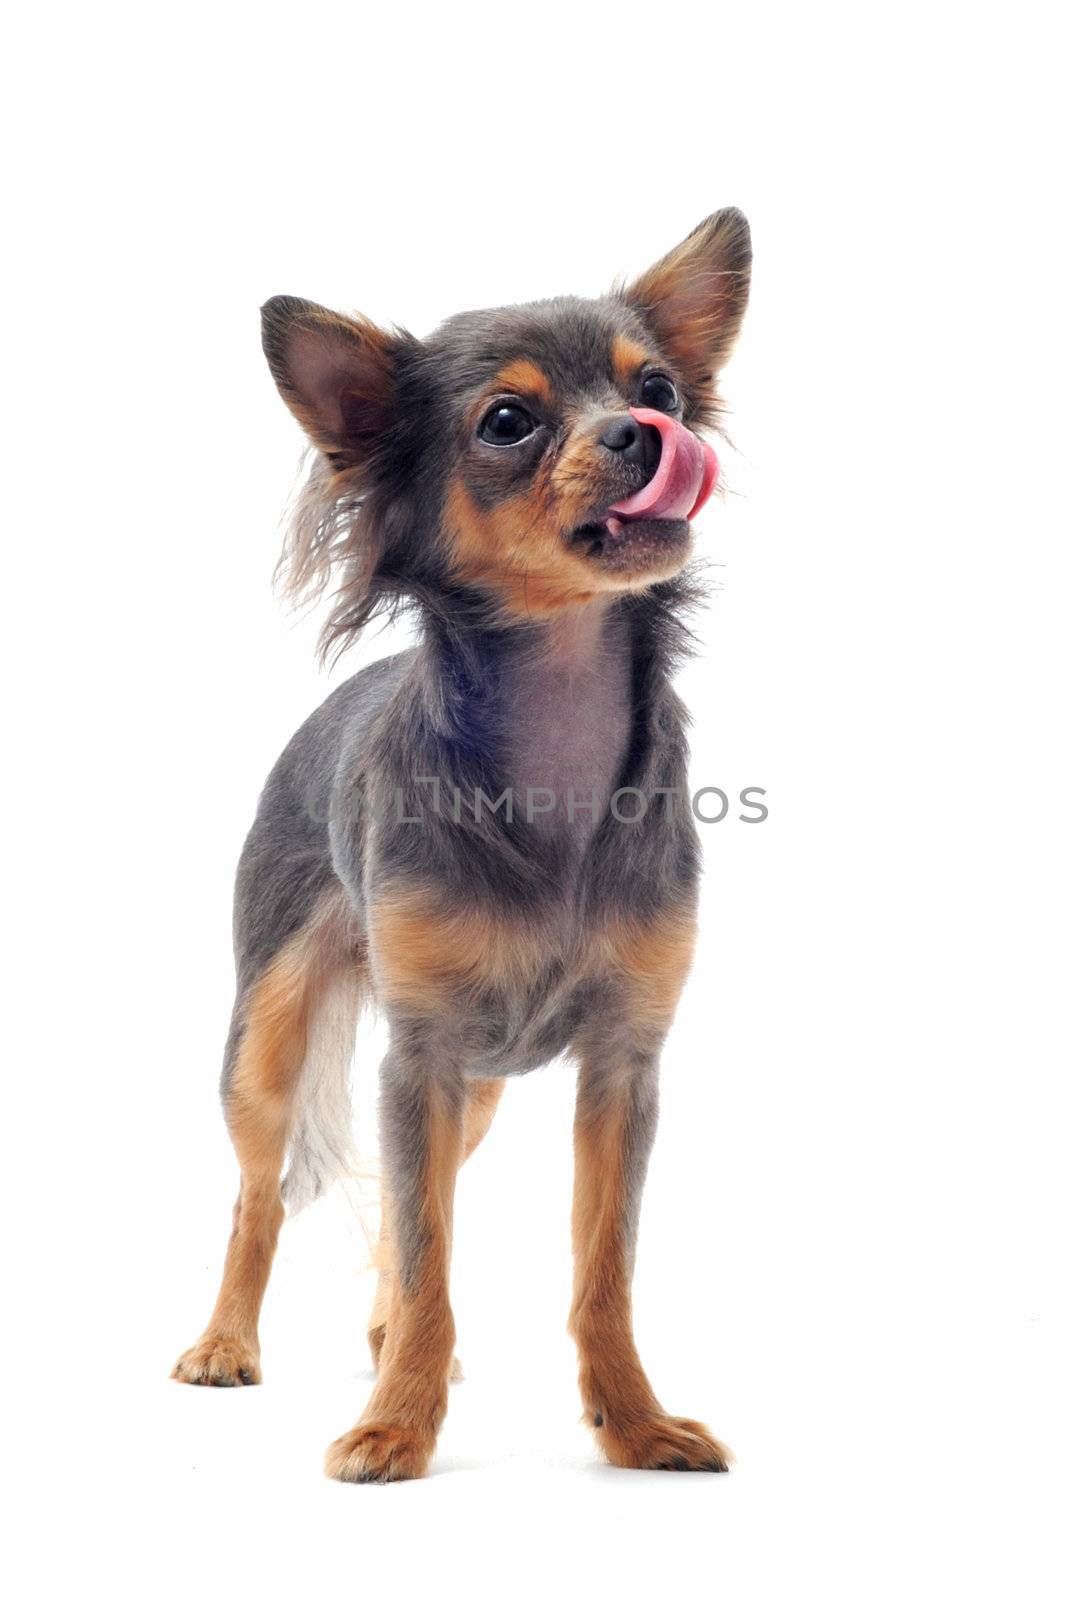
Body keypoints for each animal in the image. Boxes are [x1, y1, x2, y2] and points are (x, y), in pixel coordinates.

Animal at [173, 206, 751, 1478]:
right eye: (505, 422)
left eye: (660, 389)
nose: (644, 430)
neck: (554, 713)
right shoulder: (418, 1059)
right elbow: (428, 1249)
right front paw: (397, 1421)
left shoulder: (616, 1067)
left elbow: (595, 1267)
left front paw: (633, 1425)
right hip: (267, 1042)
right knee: (258, 1195)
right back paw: (227, 1343)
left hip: (477, 1085)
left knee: (402, 1219)